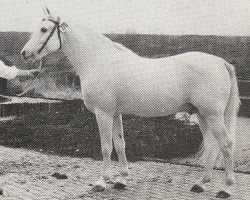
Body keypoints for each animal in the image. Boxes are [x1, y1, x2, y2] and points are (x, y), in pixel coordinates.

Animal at [20, 7, 239, 198]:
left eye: (44, 29)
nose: (24, 53)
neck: (99, 62)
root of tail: (221, 63)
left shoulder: (103, 114)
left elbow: (106, 147)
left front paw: (102, 182)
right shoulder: (115, 114)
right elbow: (120, 144)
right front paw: (121, 180)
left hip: (212, 115)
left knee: (226, 144)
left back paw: (226, 188)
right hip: (202, 115)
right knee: (212, 145)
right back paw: (200, 184)